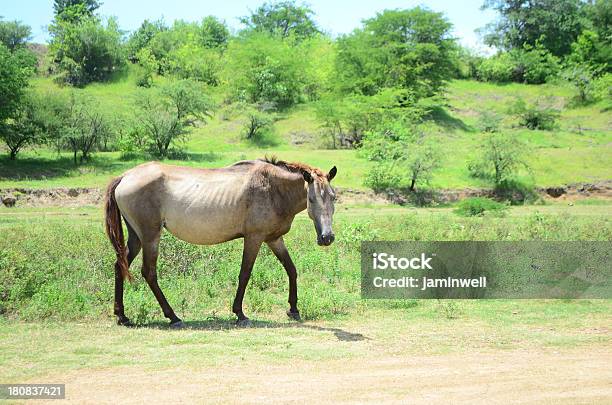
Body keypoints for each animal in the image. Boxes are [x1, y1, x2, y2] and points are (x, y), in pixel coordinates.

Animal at [103, 156, 338, 326]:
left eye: (333, 197)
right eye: (311, 199)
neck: (272, 188)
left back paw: (122, 316)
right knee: (149, 272)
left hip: (136, 237)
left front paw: (293, 309)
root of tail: (125, 176)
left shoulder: (274, 239)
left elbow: (291, 269)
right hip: (150, 236)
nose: (327, 237)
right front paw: (239, 313)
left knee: (120, 265)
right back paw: (173, 316)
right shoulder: (254, 238)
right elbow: (245, 274)